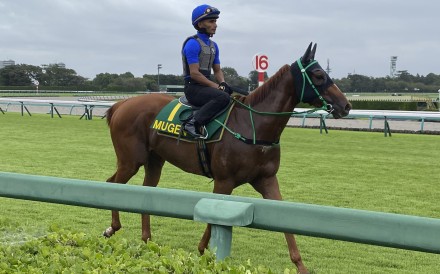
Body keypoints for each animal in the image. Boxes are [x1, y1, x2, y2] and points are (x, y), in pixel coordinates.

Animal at [103, 43, 350, 274]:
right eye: (318, 75)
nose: (346, 105)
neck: (252, 126)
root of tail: (121, 104)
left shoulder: (267, 179)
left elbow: (284, 220)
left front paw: (300, 265)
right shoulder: (224, 181)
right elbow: (213, 218)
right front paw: (203, 250)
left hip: (154, 160)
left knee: (144, 192)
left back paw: (146, 239)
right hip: (131, 160)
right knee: (112, 184)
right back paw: (112, 227)